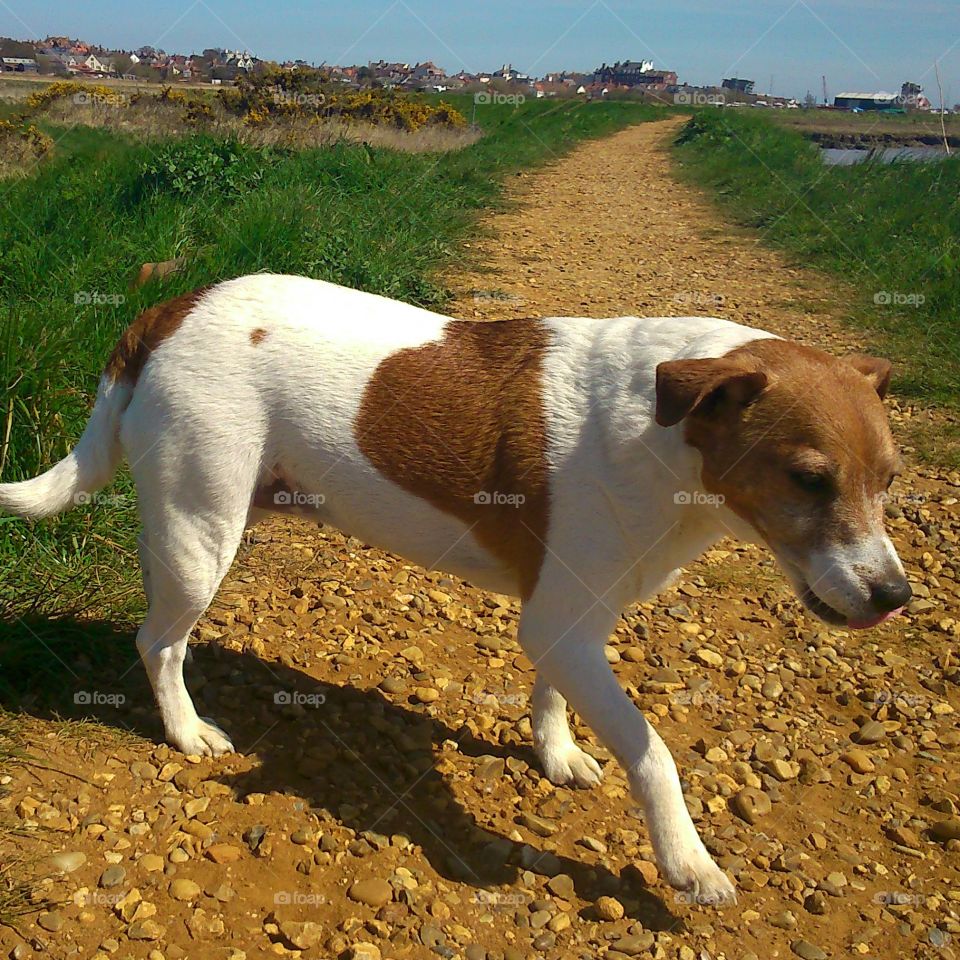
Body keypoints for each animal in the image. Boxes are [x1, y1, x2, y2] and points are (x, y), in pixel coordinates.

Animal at [0, 274, 912, 904]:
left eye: (891, 480)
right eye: (809, 479)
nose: (895, 597)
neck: (667, 431)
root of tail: (171, 307)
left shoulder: (567, 621)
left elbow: (551, 696)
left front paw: (556, 752)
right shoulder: (563, 626)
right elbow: (652, 753)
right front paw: (687, 861)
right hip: (202, 530)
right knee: (158, 641)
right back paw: (187, 730)